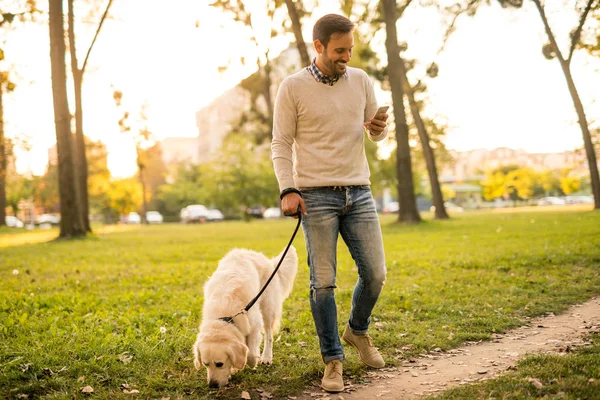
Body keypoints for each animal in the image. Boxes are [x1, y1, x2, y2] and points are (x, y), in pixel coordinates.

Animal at [192, 245, 298, 390]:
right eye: (206, 364)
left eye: (220, 364)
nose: (212, 385)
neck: (225, 316)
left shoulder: (255, 324)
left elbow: (251, 353)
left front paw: (251, 362)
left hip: (267, 308)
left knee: (269, 335)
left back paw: (266, 357)